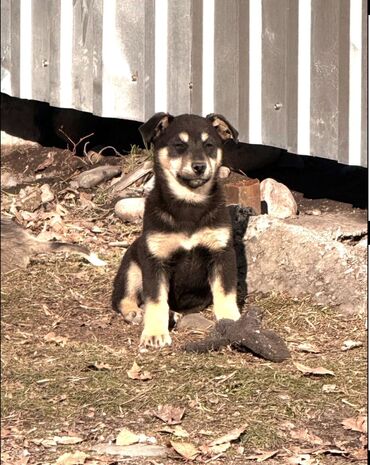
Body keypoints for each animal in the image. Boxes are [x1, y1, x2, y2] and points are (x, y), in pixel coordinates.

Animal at [111, 111, 241, 344]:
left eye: (209, 145)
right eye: (179, 145)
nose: (199, 166)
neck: (189, 204)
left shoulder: (222, 253)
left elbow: (225, 291)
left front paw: (232, 320)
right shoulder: (155, 260)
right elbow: (155, 300)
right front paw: (154, 333)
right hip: (132, 265)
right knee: (122, 298)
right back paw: (135, 312)